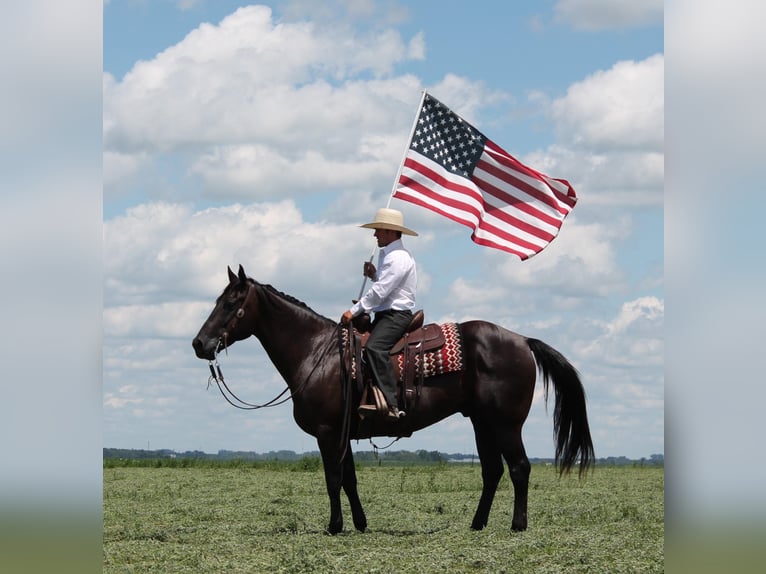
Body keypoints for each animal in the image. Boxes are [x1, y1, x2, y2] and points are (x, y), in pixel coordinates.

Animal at [192, 266, 592, 536]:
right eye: (216, 300)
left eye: (231, 303)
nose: (199, 343)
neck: (318, 352)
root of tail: (522, 340)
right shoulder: (343, 433)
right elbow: (349, 479)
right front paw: (359, 523)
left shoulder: (327, 432)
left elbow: (332, 478)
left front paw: (334, 526)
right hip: (482, 423)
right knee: (492, 471)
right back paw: (476, 523)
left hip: (506, 424)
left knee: (520, 468)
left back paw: (517, 525)